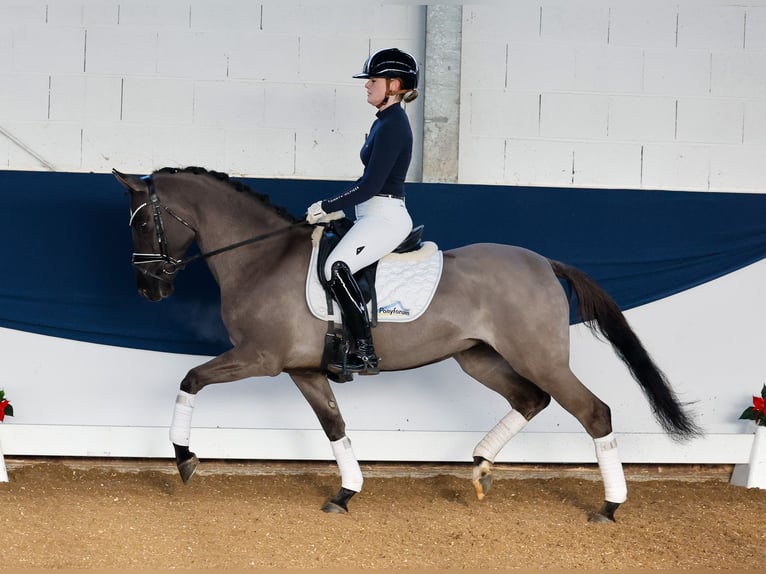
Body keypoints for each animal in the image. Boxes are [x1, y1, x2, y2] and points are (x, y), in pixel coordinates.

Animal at [112, 165, 704, 520]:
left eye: (141, 225)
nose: (147, 289)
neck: (261, 259)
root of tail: (543, 263)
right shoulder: (303, 370)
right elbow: (334, 426)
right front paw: (346, 492)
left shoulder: (259, 358)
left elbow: (190, 378)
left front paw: (184, 457)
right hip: (477, 357)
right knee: (530, 399)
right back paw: (479, 466)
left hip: (538, 356)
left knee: (593, 412)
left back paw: (609, 506)